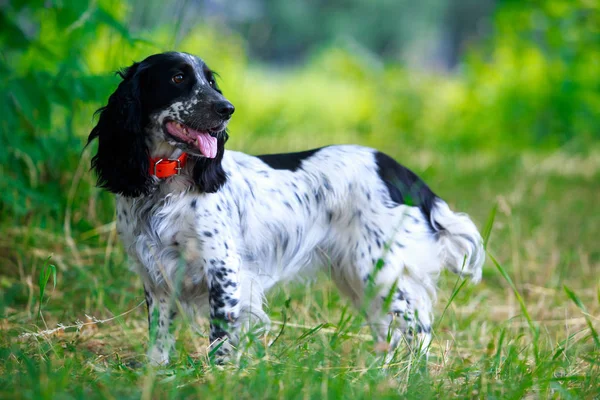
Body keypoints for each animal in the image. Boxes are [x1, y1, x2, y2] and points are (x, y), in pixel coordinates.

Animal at [86, 51, 486, 364]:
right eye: (178, 77)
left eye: (211, 81)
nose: (227, 109)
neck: (167, 186)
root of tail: (402, 173)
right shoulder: (156, 278)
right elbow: (159, 339)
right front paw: (157, 376)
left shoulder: (224, 271)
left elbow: (221, 341)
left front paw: (218, 378)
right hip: (361, 279)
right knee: (391, 331)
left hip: (381, 271)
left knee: (420, 331)